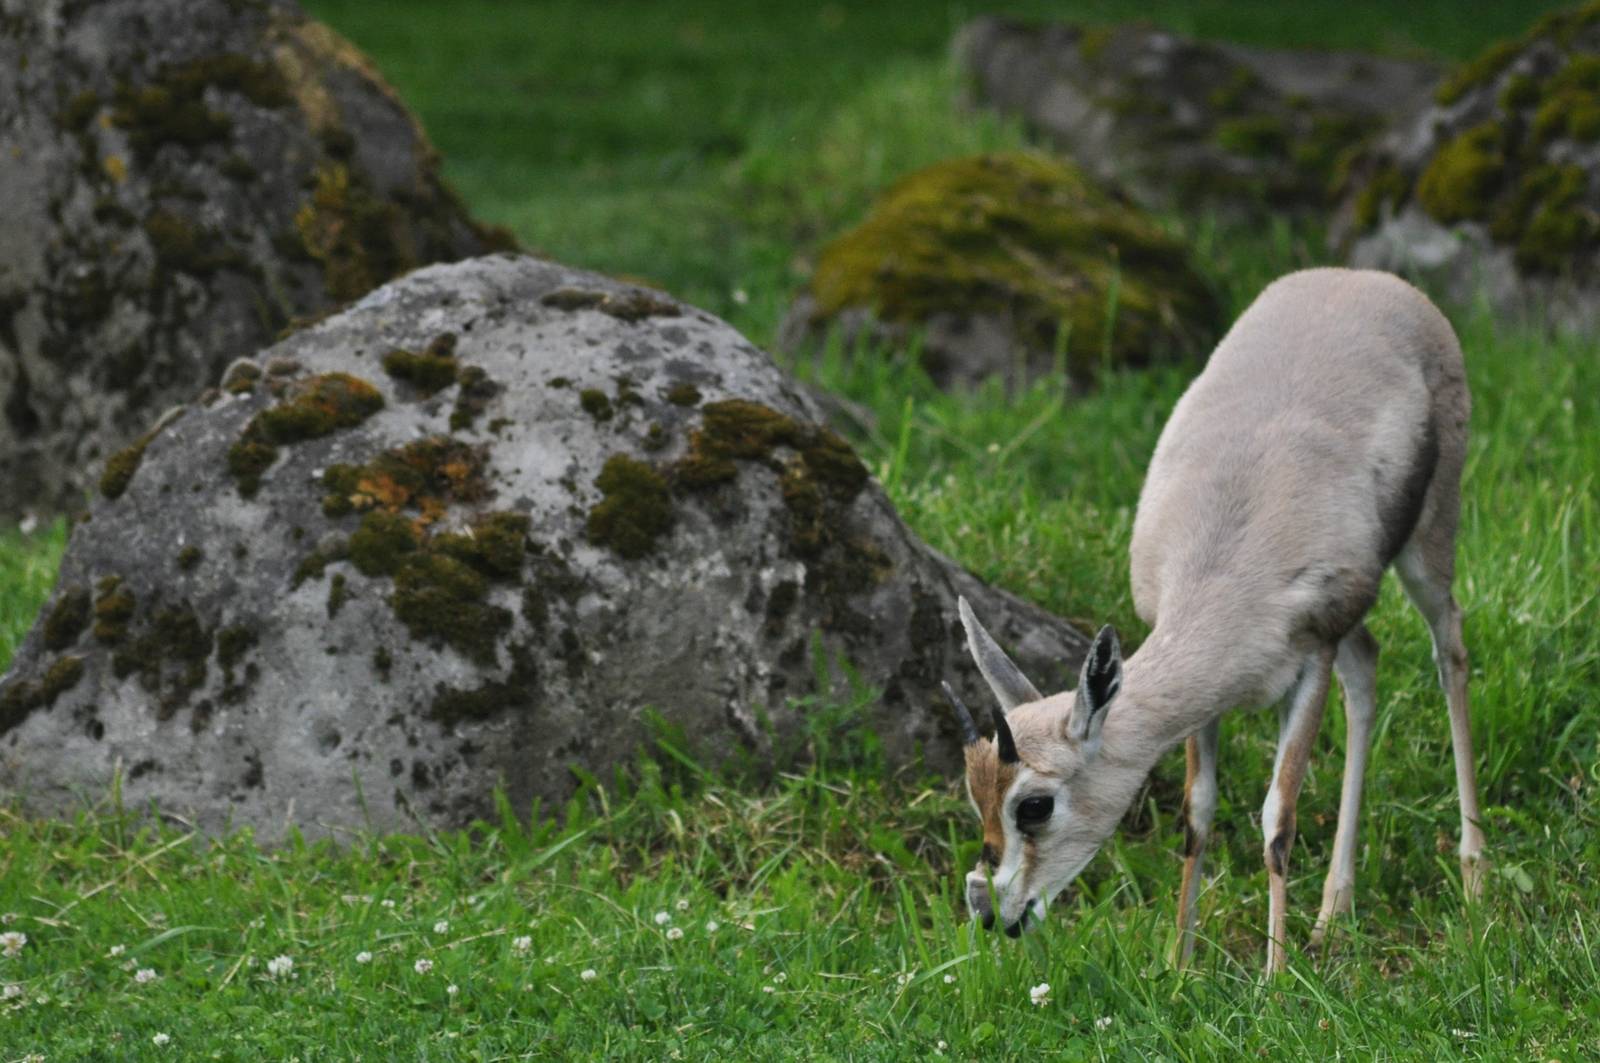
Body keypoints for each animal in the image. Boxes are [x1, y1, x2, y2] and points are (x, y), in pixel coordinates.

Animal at [946, 268, 1486, 974]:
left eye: (1034, 805)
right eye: (974, 795)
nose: (991, 911)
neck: (1225, 572)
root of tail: (1366, 279)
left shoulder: (1310, 657)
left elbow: (1278, 818)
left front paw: (1275, 980)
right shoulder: (1210, 701)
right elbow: (1195, 815)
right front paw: (1179, 964)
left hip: (1430, 543)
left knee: (1450, 649)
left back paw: (1474, 878)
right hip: (1359, 616)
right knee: (1368, 662)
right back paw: (1333, 915)